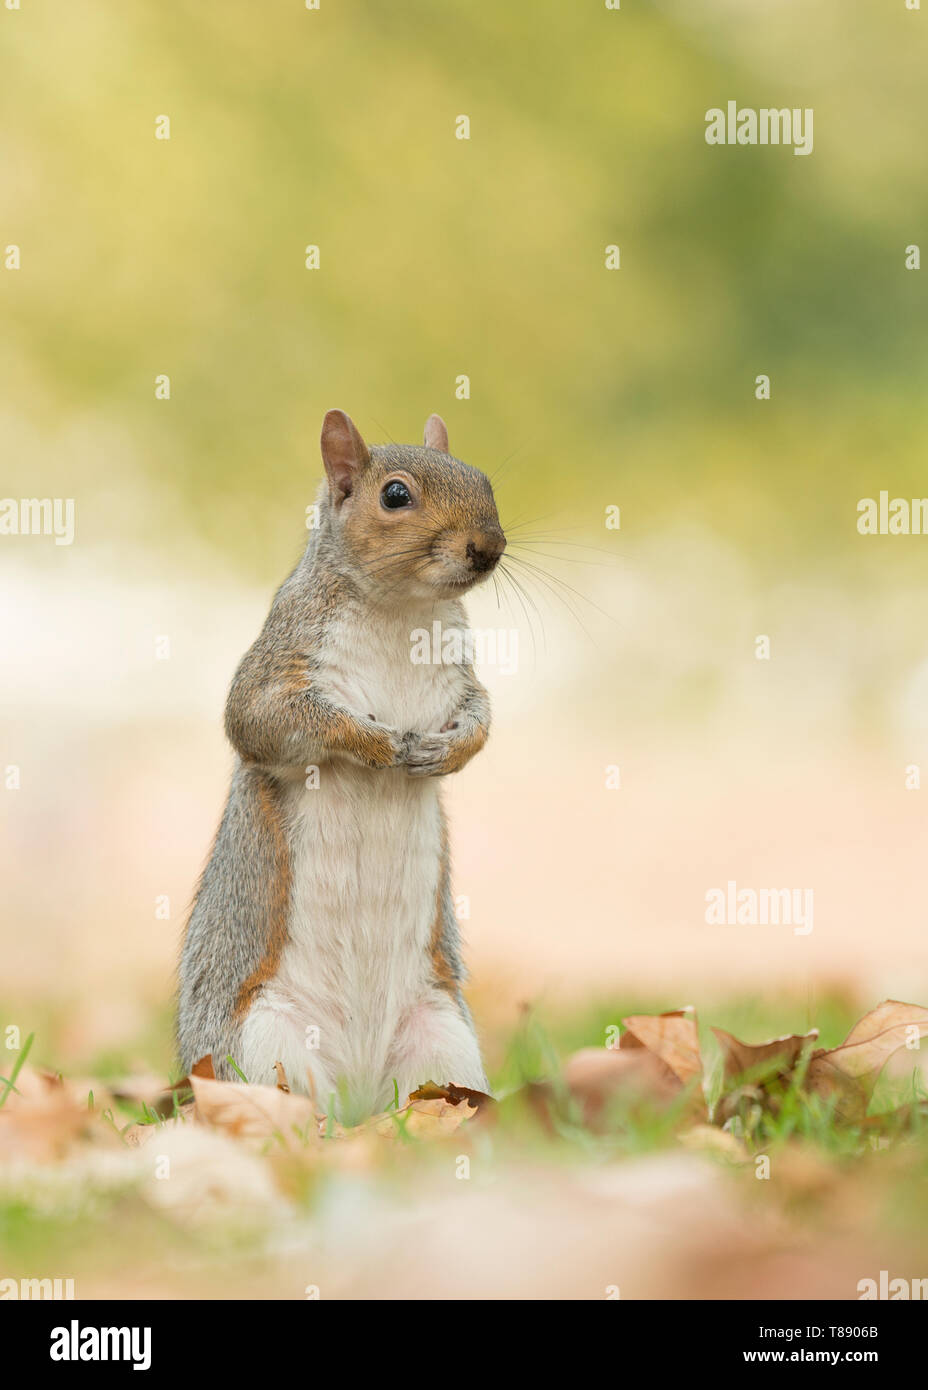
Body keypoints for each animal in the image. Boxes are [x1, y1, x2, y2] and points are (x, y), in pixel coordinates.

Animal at [176, 405, 502, 1123]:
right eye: (395, 495)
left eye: (485, 479)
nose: (488, 548)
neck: (400, 609)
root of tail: (359, 1096)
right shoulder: (282, 663)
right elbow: (262, 720)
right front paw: (374, 743)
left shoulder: (461, 678)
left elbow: (482, 717)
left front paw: (448, 750)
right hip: (262, 1041)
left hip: (443, 1036)